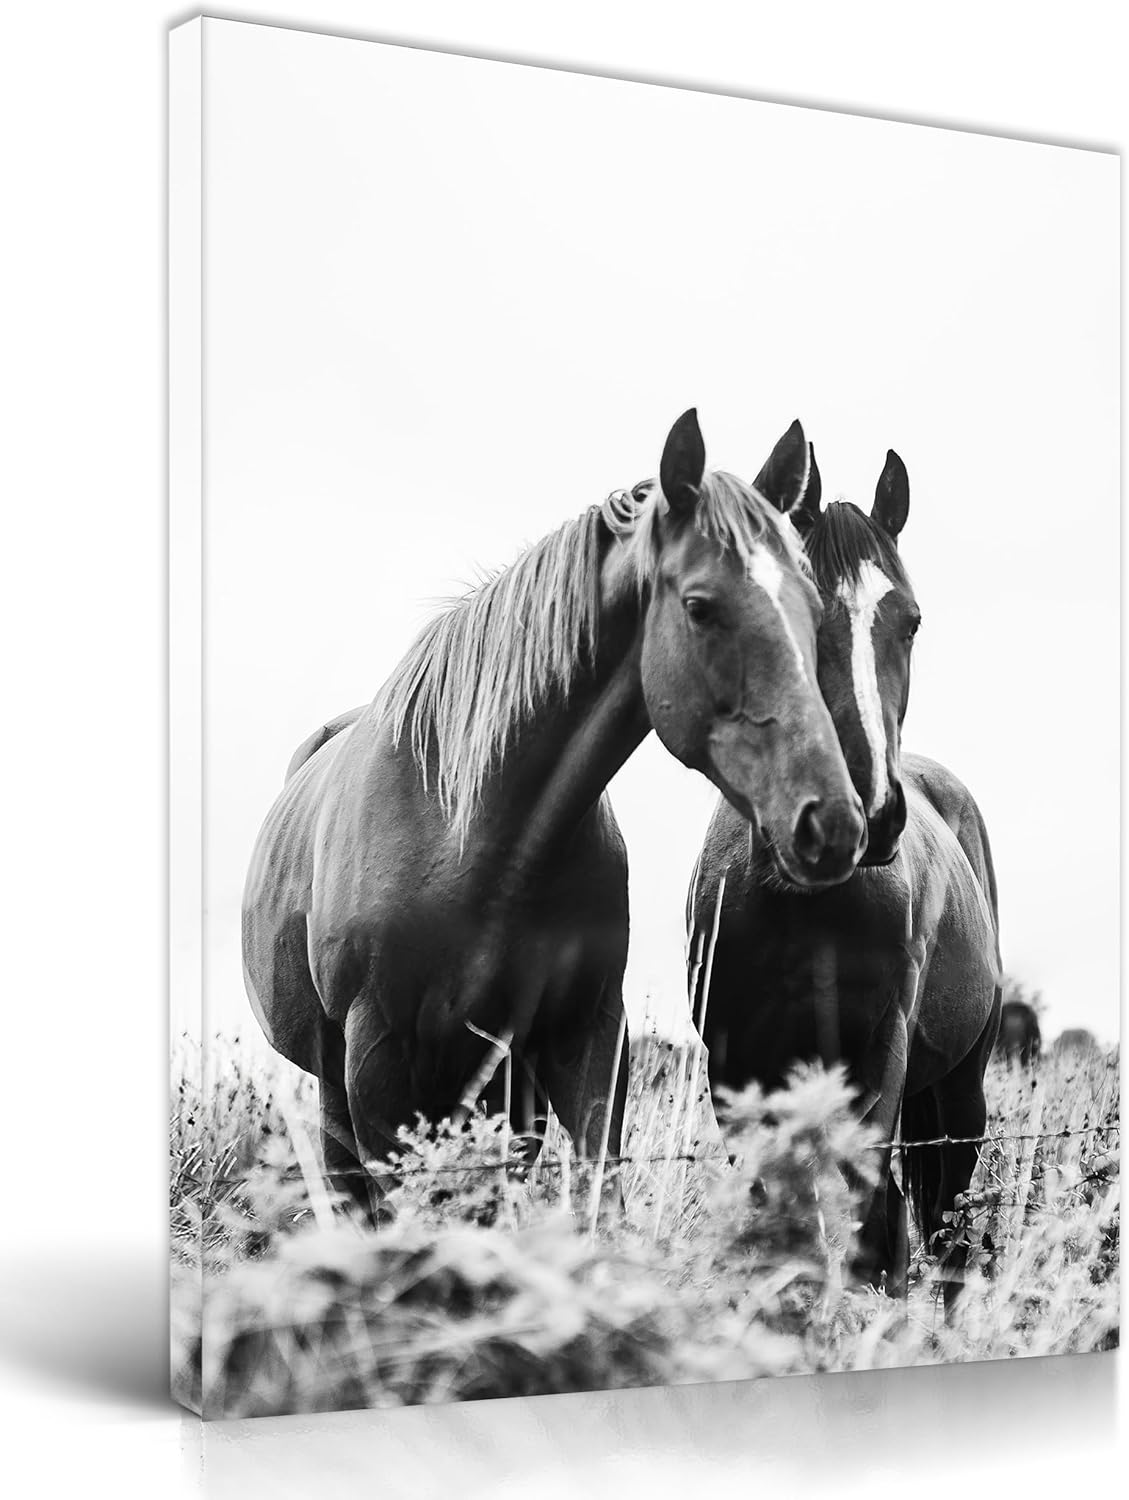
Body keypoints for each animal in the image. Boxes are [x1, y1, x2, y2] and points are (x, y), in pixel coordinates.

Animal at [243, 409, 867, 1216]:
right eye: (699, 606)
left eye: (812, 609)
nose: (833, 823)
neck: (473, 835)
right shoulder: (374, 1062)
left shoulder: (583, 1039)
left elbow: (598, 1193)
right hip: (342, 1089)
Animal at [687, 421, 1001, 1304]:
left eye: (911, 621)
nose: (868, 811)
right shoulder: (735, 1065)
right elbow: (772, 1218)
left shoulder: (878, 1056)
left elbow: (868, 1225)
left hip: (958, 1087)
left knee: (944, 1221)